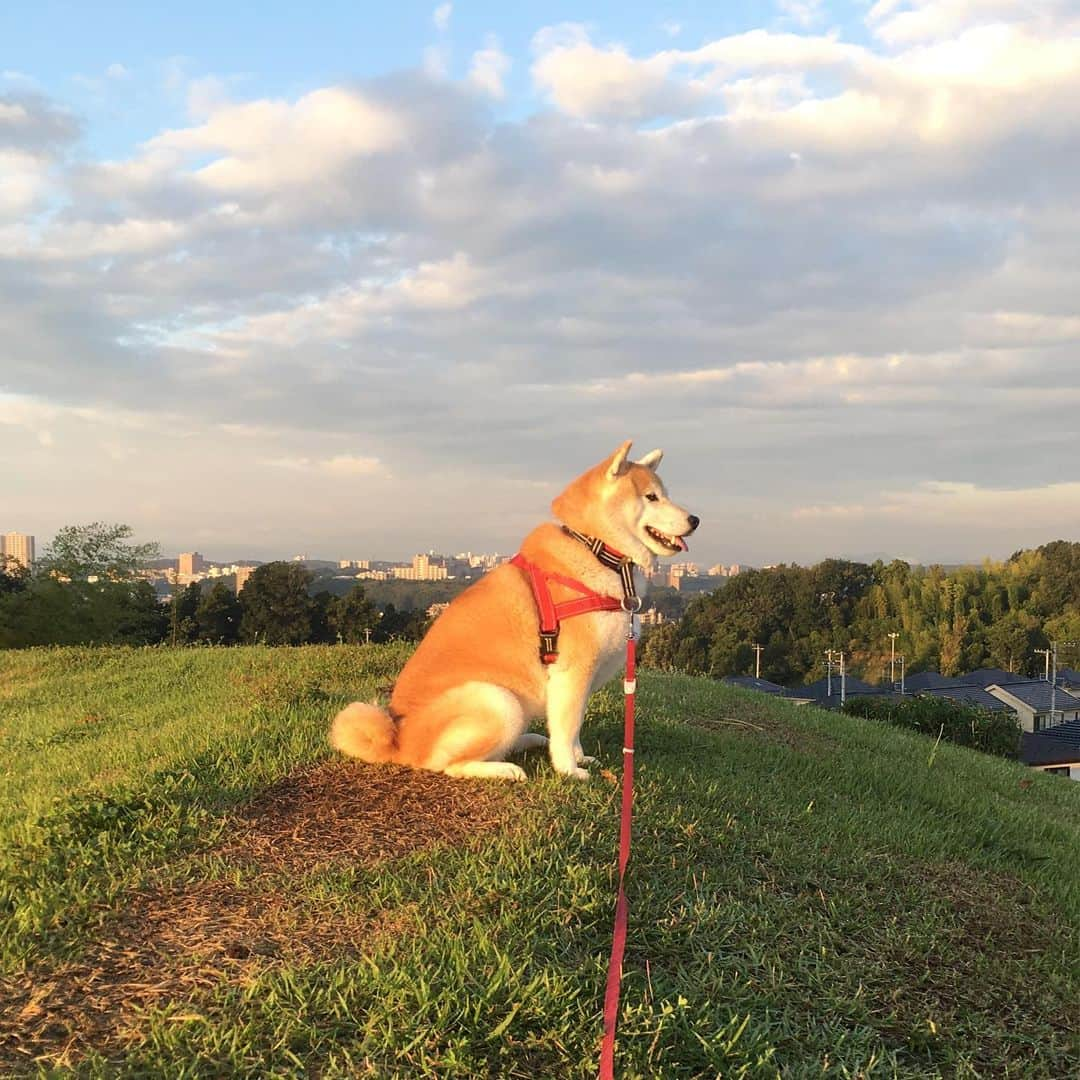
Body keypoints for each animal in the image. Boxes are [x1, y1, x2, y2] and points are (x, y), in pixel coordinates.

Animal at [330, 442, 699, 781]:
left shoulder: (578, 680)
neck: (595, 549)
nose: (695, 519)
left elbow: (574, 727)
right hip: (497, 699)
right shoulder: (572, 671)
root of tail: (399, 743)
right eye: (651, 497)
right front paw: (569, 770)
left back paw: (528, 740)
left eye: (665, 495)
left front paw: (580, 757)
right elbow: (568, 729)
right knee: (450, 766)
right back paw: (505, 769)